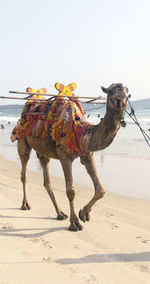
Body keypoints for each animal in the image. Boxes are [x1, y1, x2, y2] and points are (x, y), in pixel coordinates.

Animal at [10, 82, 129, 231]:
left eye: (127, 91)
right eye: (112, 90)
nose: (122, 97)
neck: (81, 131)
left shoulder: (87, 155)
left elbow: (101, 189)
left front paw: (84, 213)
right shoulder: (64, 157)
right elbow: (70, 191)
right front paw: (74, 223)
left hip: (43, 152)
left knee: (46, 179)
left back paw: (60, 213)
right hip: (22, 140)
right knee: (24, 173)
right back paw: (25, 204)